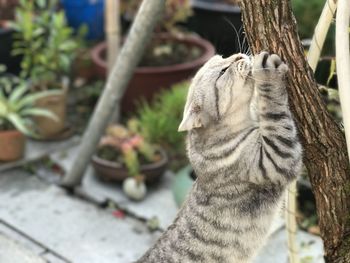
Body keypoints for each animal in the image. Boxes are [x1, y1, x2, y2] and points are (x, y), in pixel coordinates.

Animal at [135, 52, 302, 263]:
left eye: (223, 57)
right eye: (223, 71)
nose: (238, 55)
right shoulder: (276, 157)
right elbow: (274, 113)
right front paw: (267, 74)